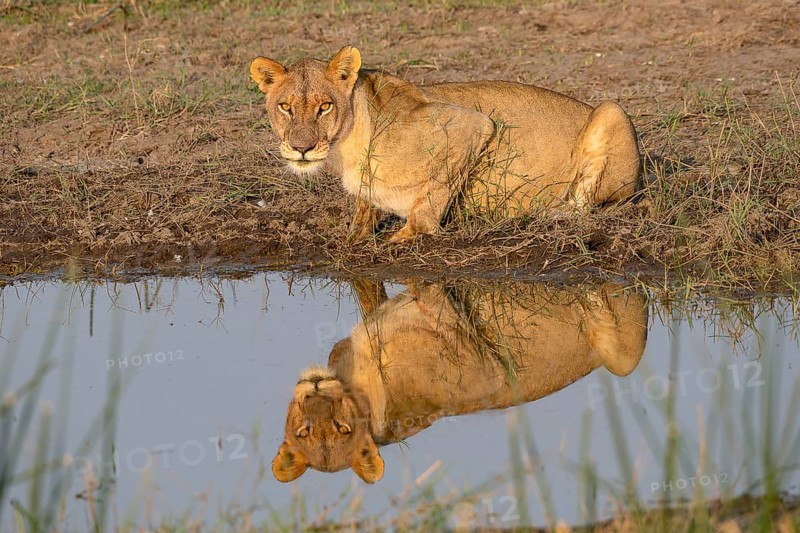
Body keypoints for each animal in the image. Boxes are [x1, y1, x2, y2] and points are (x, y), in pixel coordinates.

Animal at [250, 46, 642, 242]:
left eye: (325, 106)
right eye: (285, 107)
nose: (301, 148)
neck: (344, 149)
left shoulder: (471, 124)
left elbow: (429, 201)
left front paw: (404, 237)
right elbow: (362, 217)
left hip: (613, 111)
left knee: (585, 204)